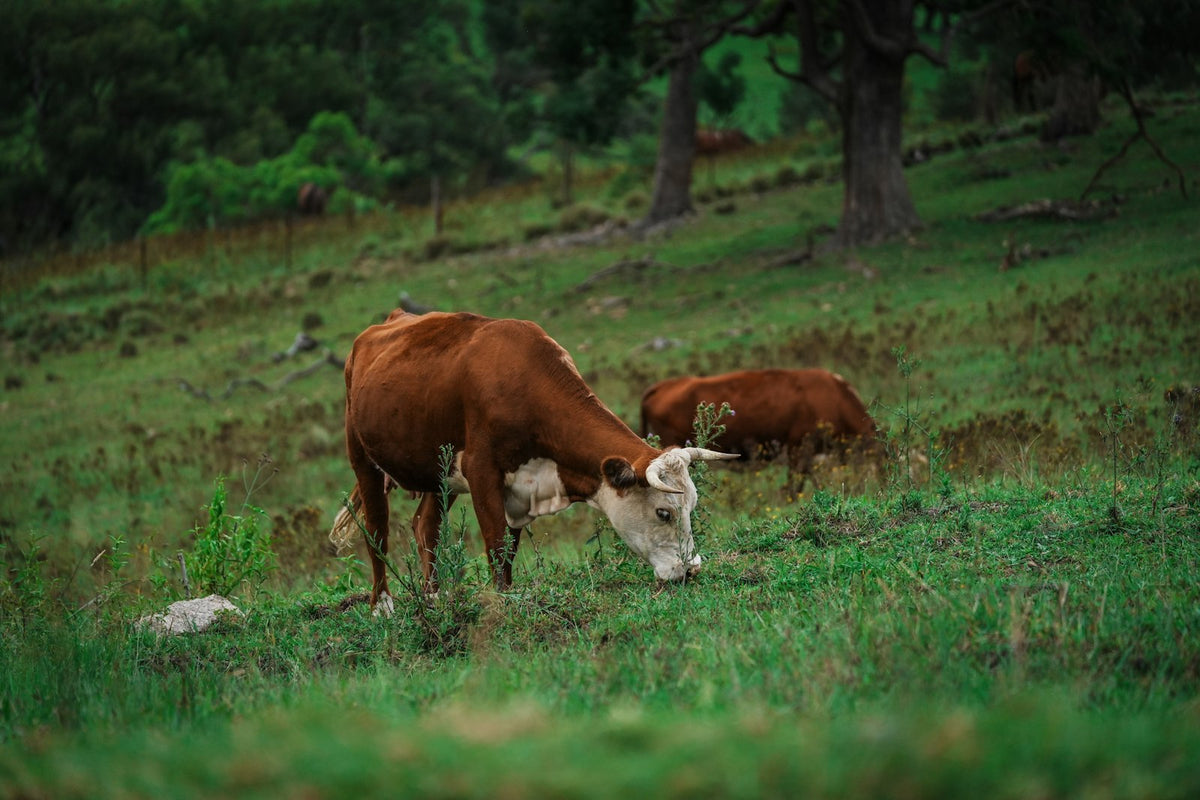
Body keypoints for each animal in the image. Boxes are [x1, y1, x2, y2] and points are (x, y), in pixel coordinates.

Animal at [330, 311, 737, 614]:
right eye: (663, 512)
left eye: (692, 506)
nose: (690, 570)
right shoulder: (482, 471)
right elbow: (495, 542)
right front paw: (501, 601)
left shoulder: (517, 488)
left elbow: (509, 549)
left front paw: (509, 594)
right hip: (362, 458)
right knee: (377, 530)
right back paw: (382, 605)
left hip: (438, 471)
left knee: (425, 524)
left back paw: (433, 596)